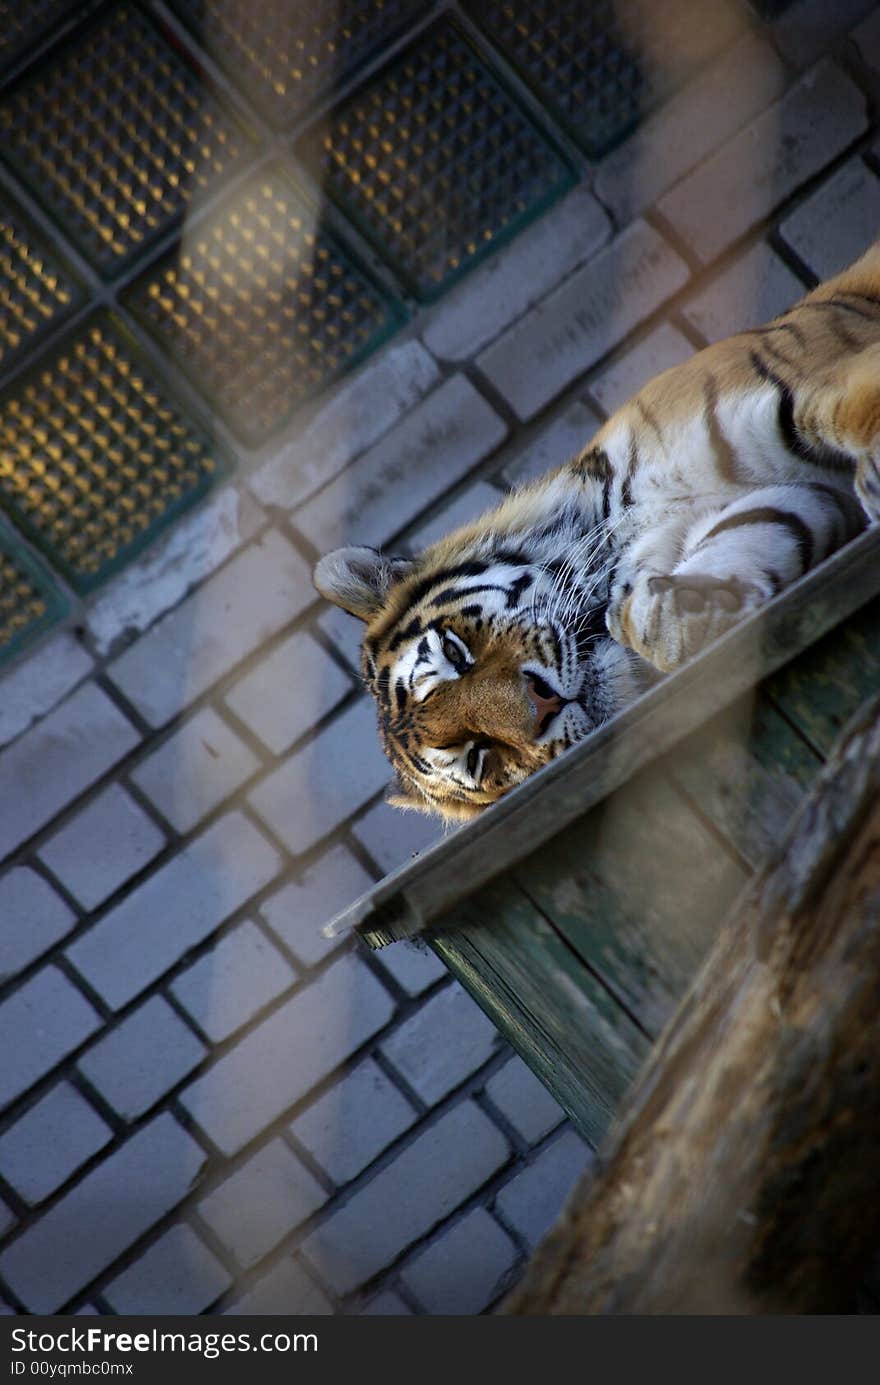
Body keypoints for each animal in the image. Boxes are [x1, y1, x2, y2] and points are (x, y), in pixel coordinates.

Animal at [311, 242, 880, 814]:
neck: (633, 528)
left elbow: (858, 407)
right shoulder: (807, 499)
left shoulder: (808, 385)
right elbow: (754, 532)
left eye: (455, 653)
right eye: (477, 755)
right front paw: (667, 610)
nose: (543, 705)